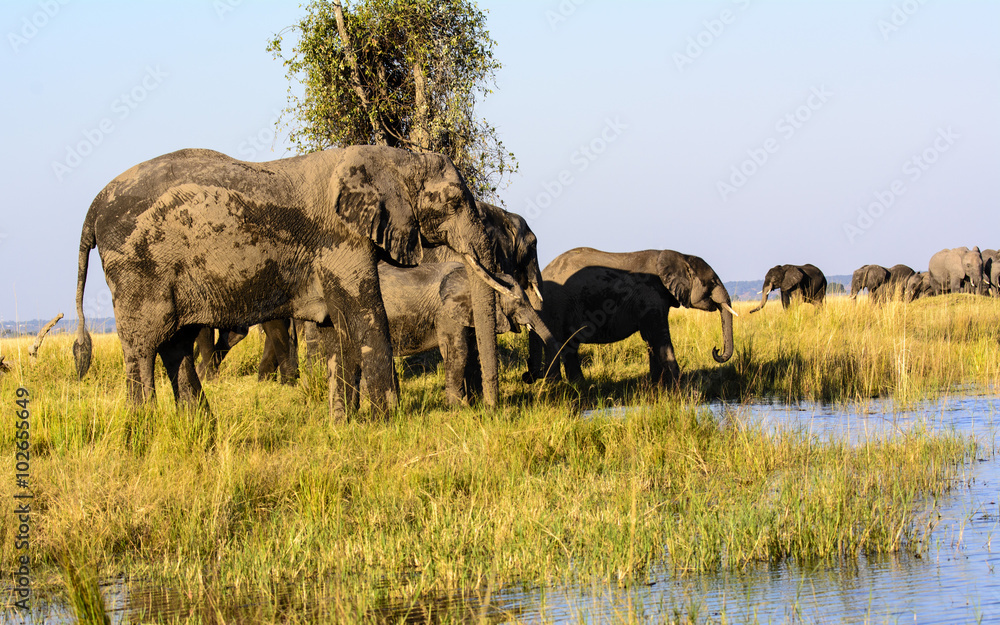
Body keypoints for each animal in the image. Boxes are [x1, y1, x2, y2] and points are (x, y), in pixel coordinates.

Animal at [72, 145, 514, 419]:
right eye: (454, 202)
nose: (489, 411)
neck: (393, 157)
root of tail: (92, 206)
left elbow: (336, 328)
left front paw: (344, 425)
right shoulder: (340, 240)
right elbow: (367, 317)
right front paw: (390, 420)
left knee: (174, 345)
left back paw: (199, 426)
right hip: (139, 268)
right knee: (143, 347)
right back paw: (143, 428)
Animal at [524, 247, 736, 387]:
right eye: (713, 282)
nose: (716, 349)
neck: (678, 255)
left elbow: (652, 341)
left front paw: (657, 386)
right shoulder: (650, 295)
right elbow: (660, 338)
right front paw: (679, 387)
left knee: (569, 345)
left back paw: (580, 386)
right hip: (555, 305)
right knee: (557, 344)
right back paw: (556, 387)